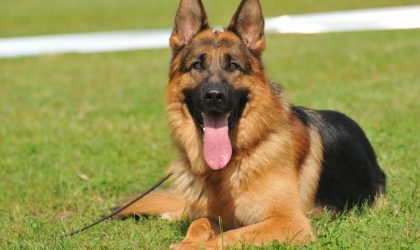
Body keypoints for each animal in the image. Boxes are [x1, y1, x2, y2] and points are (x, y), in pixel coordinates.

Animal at [115, 0, 388, 248]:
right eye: (197, 65)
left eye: (233, 65)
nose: (214, 96)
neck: (235, 160)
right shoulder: (216, 216)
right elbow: (199, 223)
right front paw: (189, 238)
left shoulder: (290, 223)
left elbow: (229, 236)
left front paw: (190, 246)